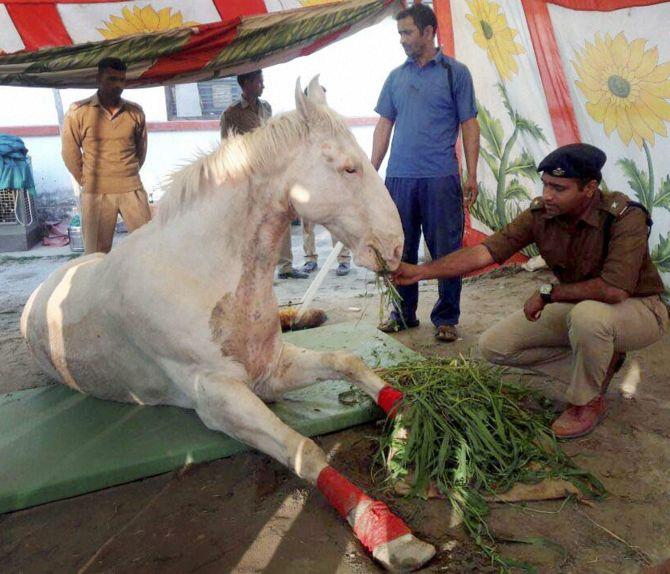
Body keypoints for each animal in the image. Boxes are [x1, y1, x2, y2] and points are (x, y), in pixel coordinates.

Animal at [19, 79, 436, 572]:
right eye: (349, 167)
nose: (395, 249)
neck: (200, 272)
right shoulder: (220, 397)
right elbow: (303, 448)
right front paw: (389, 532)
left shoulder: (270, 369)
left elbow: (348, 362)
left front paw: (409, 438)